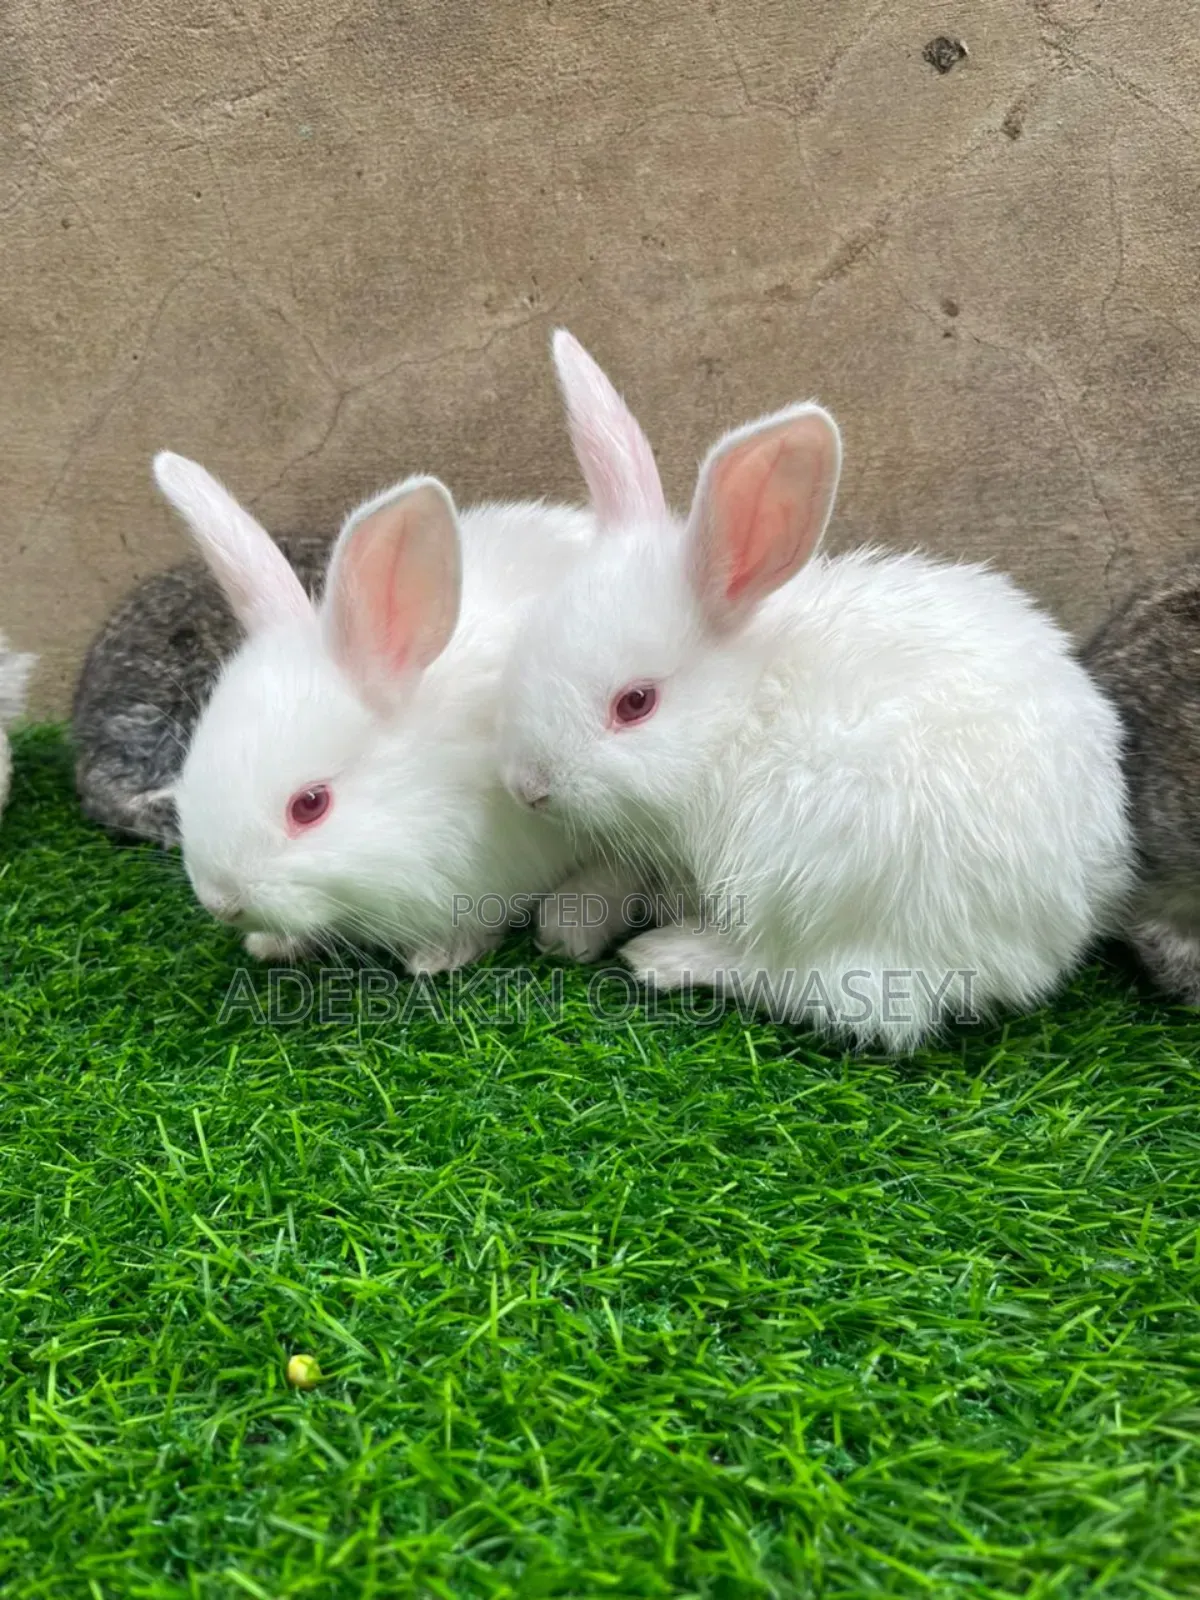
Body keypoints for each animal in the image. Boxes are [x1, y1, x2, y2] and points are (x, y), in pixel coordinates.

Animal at [496, 331, 1134, 1050]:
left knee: (821, 989)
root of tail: (1072, 910)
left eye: (635, 704)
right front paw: (565, 926)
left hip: (837, 890)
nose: (527, 787)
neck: (740, 717)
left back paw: (670, 956)